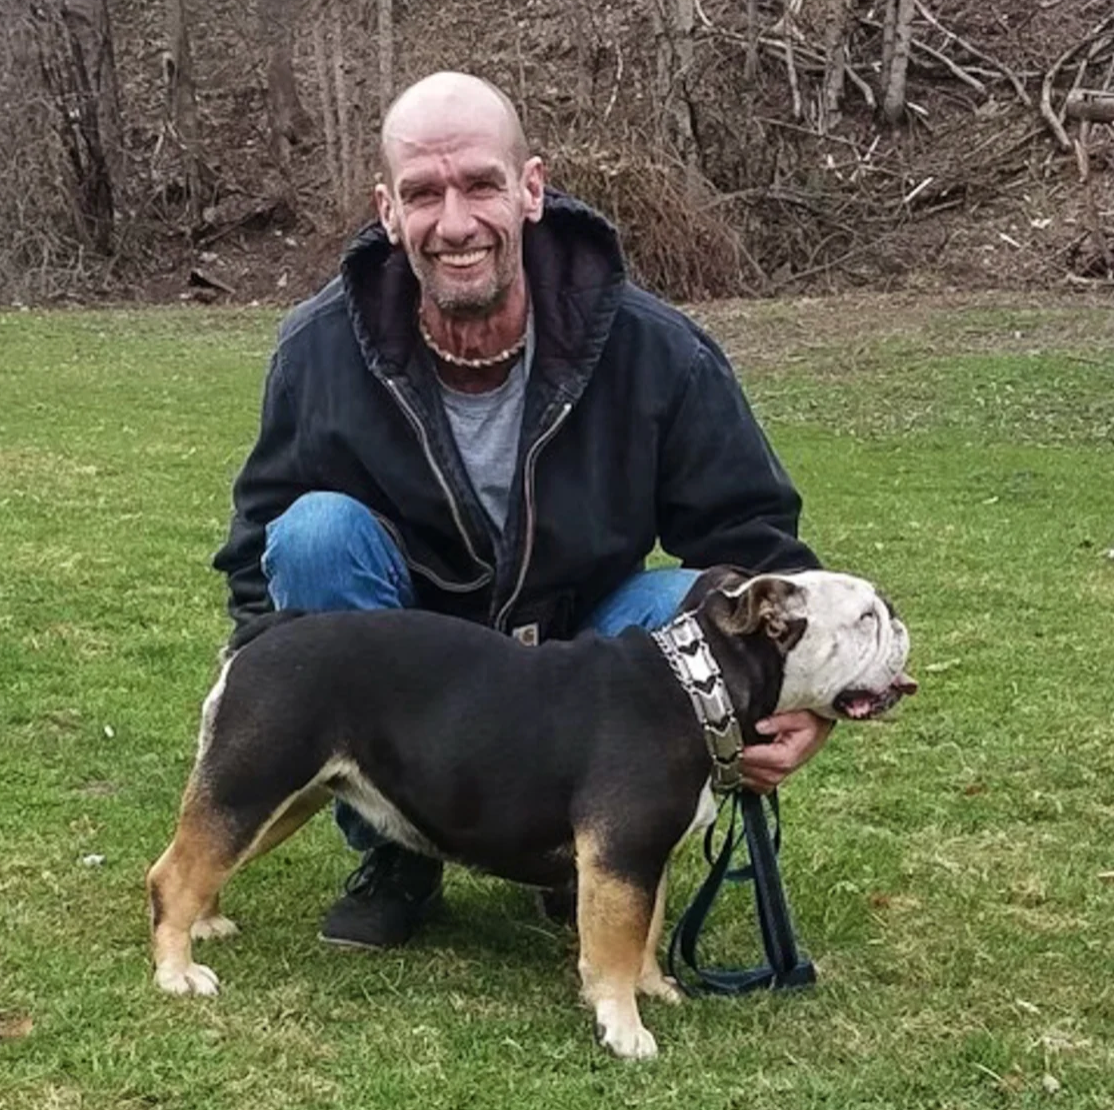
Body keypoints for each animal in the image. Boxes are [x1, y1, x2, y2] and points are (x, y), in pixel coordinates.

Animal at [148, 568, 913, 1060]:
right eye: (867, 618)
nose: (902, 618)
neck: (706, 684)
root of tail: (269, 632)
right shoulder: (621, 854)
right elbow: (611, 947)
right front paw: (624, 1028)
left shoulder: (644, 858)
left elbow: (644, 930)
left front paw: (654, 988)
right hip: (255, 779)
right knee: (175, 871)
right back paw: (177, 971)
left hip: (282, 795)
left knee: (206, 857)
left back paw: (204, 925)